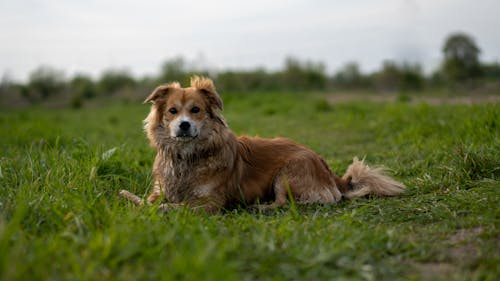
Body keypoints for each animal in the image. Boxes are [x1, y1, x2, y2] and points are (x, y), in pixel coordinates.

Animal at [121, 76, 406, 212]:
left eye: (196, 110)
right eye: (172, 111)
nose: (184, 125)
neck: (187, 156)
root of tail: (328, 170)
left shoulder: (212, 202)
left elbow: (177, 206)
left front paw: (160, 209)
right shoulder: (161, 188)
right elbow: (148, 199)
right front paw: (129, 198)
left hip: (287, 172)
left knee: (288, 203)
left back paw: (260, 208)